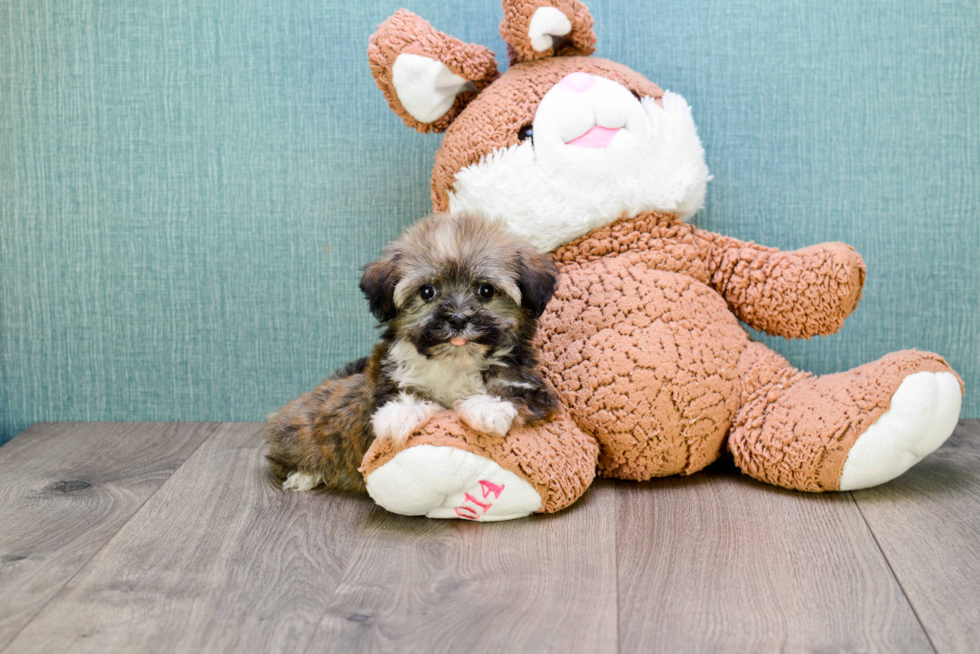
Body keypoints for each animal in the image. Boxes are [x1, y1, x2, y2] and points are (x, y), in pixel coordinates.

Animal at [264, 213, 560, 494]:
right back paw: (303, 475)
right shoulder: (383, 380)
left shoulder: (532, 388)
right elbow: (397, 395)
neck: (455, 361)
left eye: (486, 290)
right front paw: (401, 413)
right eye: (427, 291)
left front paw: (487, 407)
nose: (458, 318)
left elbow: (514, 393)